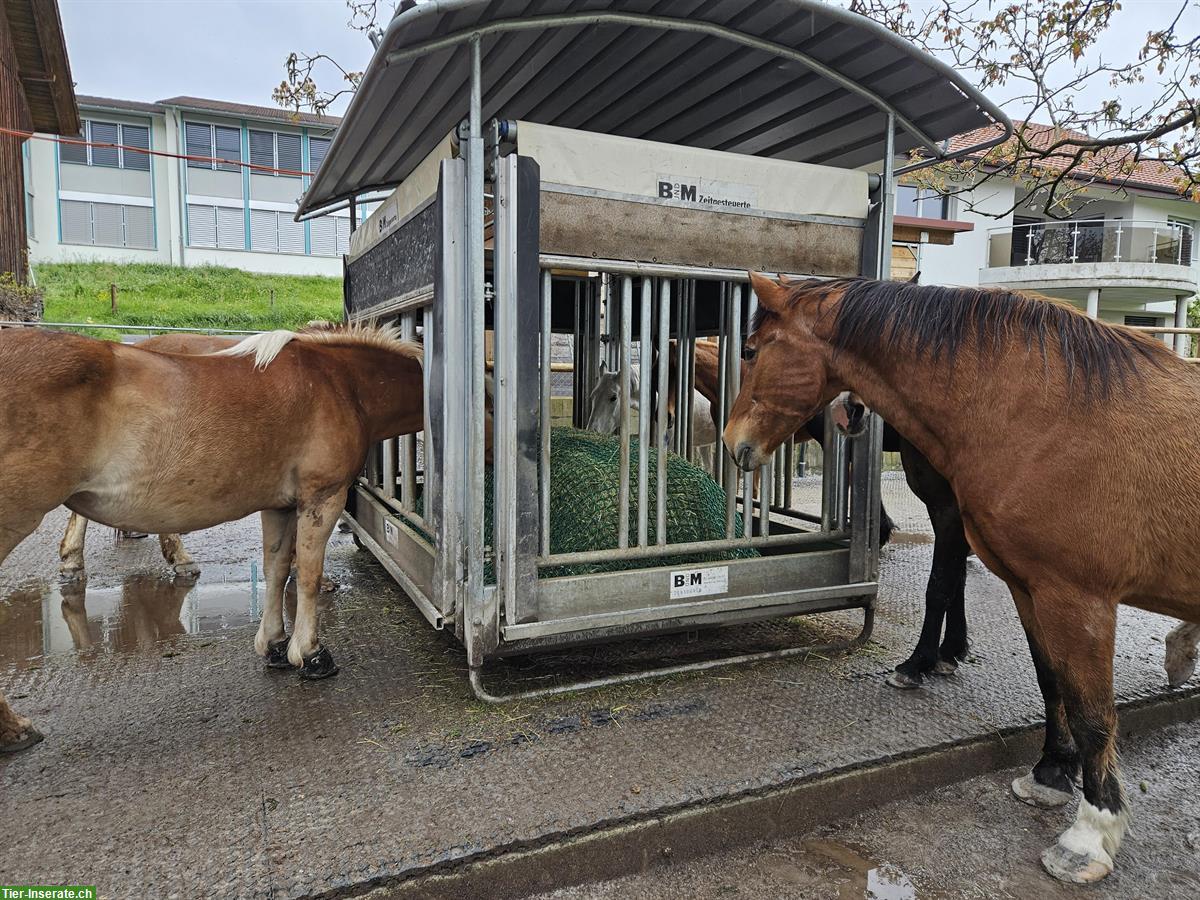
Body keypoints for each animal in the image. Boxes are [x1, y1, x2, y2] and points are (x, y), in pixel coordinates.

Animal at [0, 324, 424, 753]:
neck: (339, 380)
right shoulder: (321, 497)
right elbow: (306, 574)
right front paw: (310, 653)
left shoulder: (279, 506)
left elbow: (276, 570)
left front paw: (274, 644)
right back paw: (14, 728)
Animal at [720, 271, 1200, 883]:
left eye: (751, 350)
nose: (734, 444)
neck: (1048, 417)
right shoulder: (1028, 586)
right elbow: (1052, 680)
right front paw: (1049, 773)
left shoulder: (1078, 598)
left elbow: (1091, 711)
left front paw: (1090, 836)